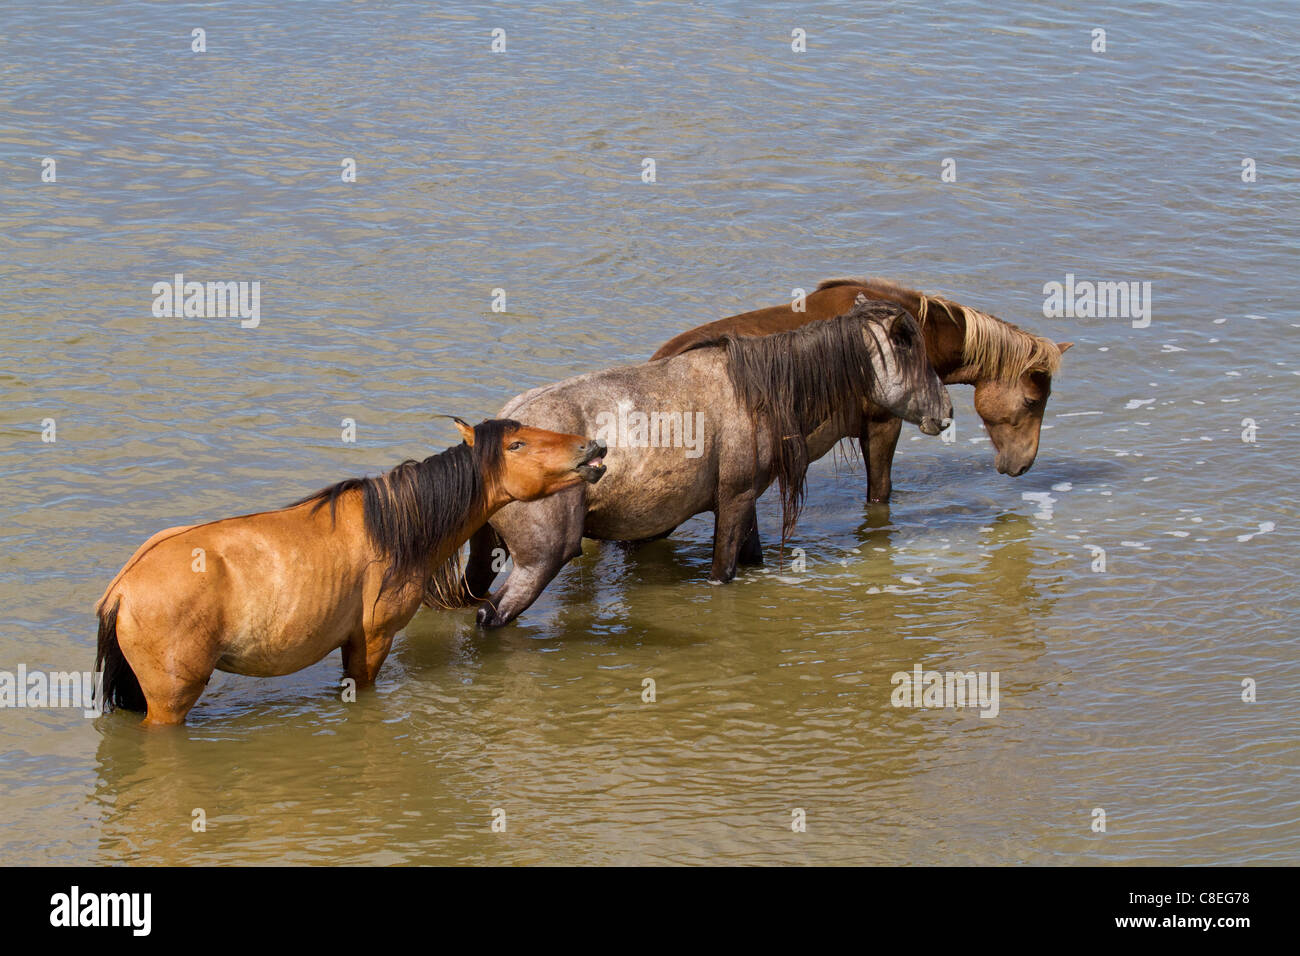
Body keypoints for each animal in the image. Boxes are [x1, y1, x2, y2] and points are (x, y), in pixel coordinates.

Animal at [94, 418, 607, 725]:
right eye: (517, 443)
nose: (593, 447)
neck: (395, 527)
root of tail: (122, 589)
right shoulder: (372, 640)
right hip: (169, 702)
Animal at [460, 298, 953, 627]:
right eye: (909, 346)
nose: (946, 412)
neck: (758, 391)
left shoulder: (744, 501)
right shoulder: (733, 502)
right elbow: (723, 574)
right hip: (540, 561)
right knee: (491, 617)